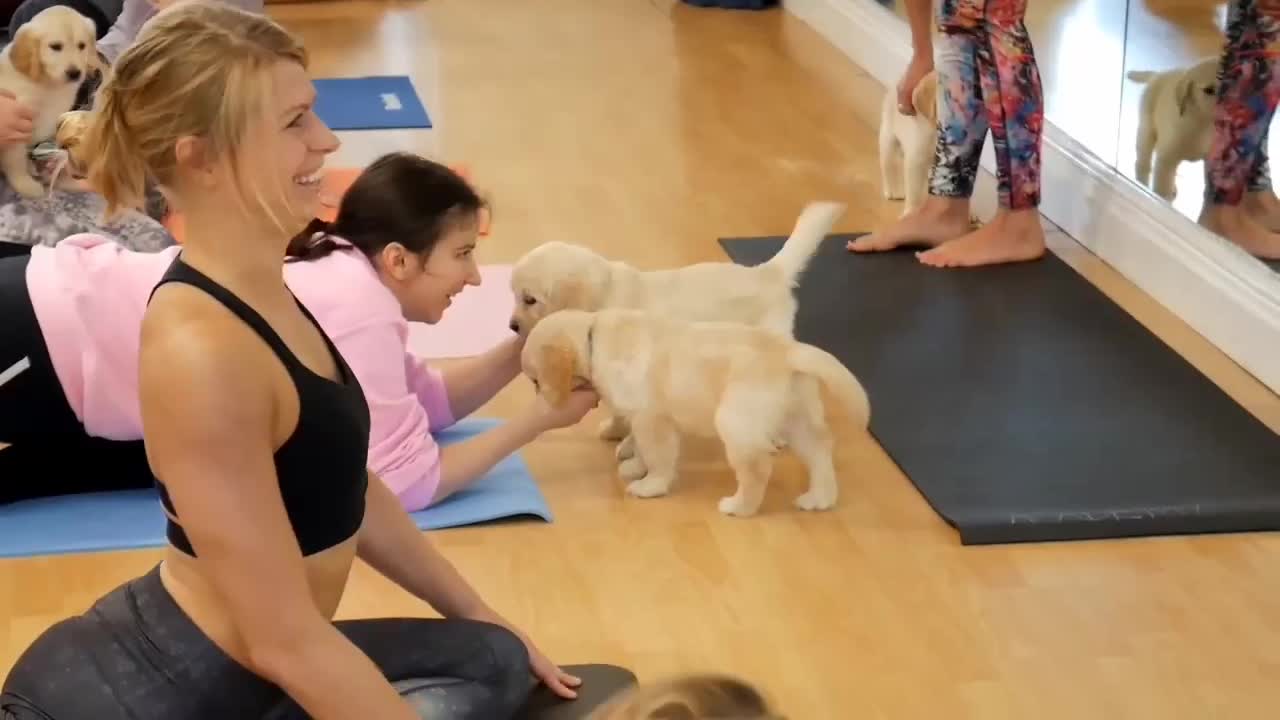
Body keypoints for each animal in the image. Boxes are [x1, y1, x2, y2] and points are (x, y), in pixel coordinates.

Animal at [0, 5, 102, 197]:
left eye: (82, 46)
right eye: (55, 47)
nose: (74, 73)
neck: (47, 84)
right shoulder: (18, 125)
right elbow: (16, 160)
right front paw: (25, 184)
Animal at [509, 199, 849, 443]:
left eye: (530, 300)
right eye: (513, 295)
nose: (512, 326)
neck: (605, 294)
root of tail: (769, 272)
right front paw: (616, 431)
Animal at [519, 304, 870, 512]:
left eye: (535, 379)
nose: (540, 395)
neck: (594, 337)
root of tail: (788, 352)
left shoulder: (652, 419)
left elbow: (658, 457)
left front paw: (650, 485)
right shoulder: (643, 418)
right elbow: (640, 447)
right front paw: (634, 465)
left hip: (735, 420)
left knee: (758, 467)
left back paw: (738, 507)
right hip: (797, 419)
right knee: (820, 451)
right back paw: (819, 498)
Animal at [880, 68, 942, 213]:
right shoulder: (916, 160)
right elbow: (915, 193)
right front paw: (912, 213)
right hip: (889, 136)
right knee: (888, 163)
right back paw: (893, 190)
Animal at [1131, 57, 1218, 198]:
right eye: (1209, 90)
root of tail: (1158, 74)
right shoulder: (1167, 158)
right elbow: (1162, 187)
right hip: (1147, 127)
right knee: (1143, 157)